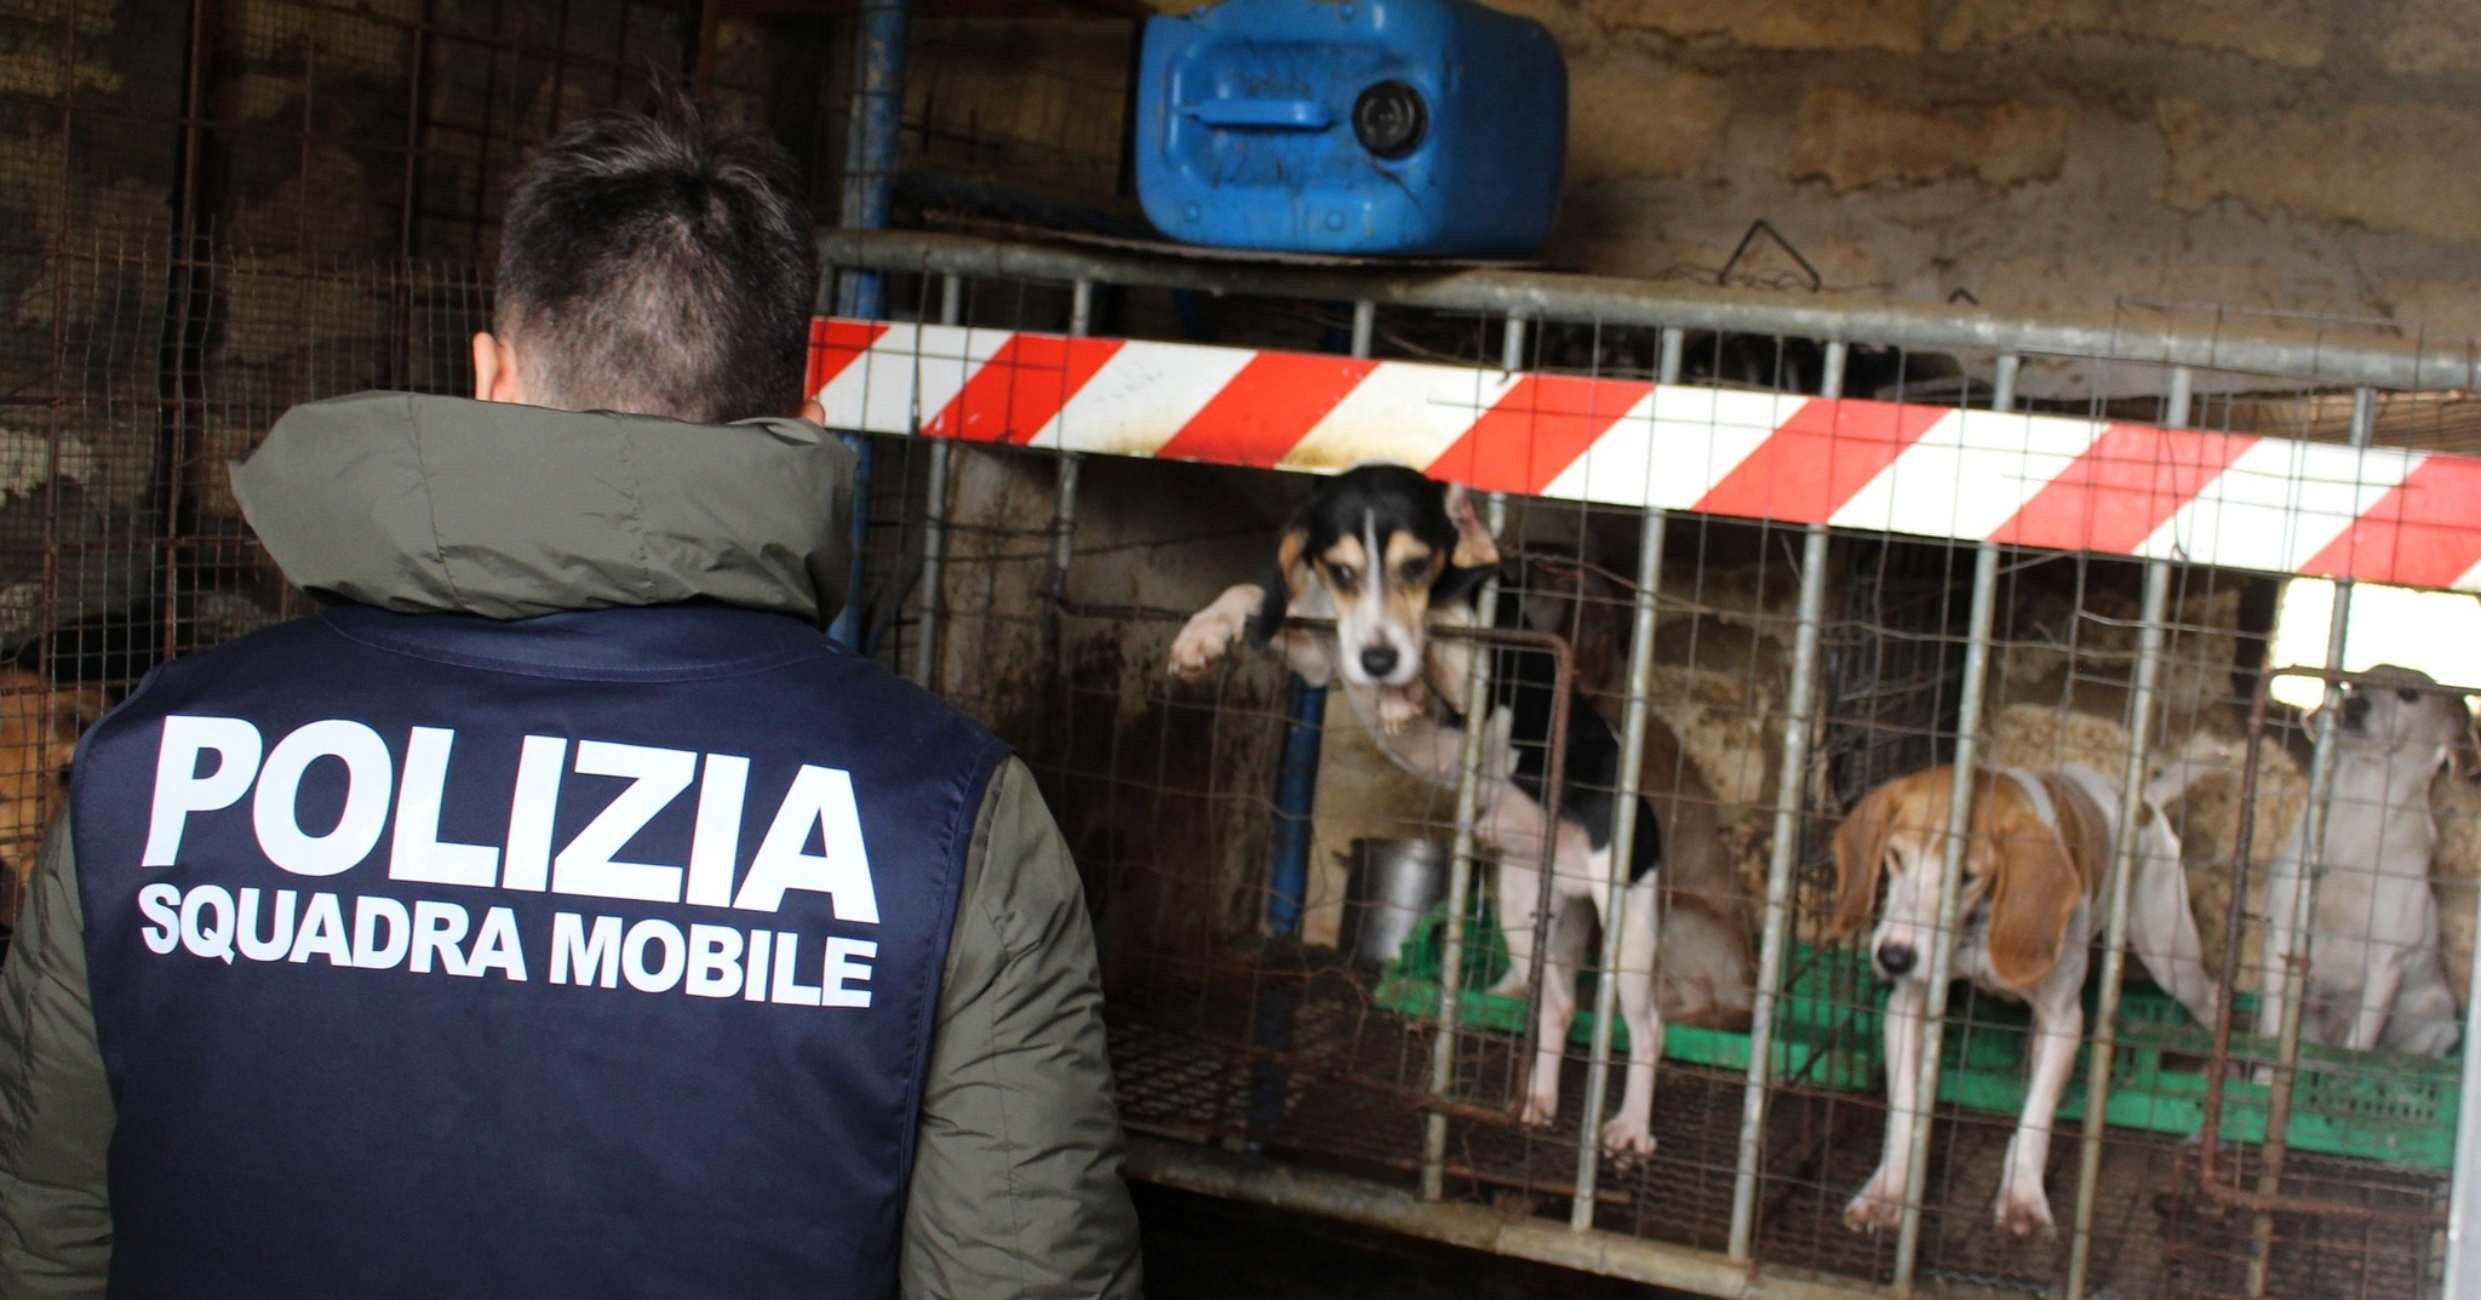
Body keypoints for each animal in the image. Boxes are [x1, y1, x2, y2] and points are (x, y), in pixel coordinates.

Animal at [1835, 764, 2222, 1240]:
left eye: (1965, 876)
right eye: (1895, 856)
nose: (1893, 958)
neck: (1979, 924)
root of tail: (2145, 799)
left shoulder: (2063, 1021)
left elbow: (2036, 1114)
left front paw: (2023, 1196)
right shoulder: (1906, 1009)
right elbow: (1904, 1112)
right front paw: (1887, 1190)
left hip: (2172, 960)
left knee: (2214, 1000)